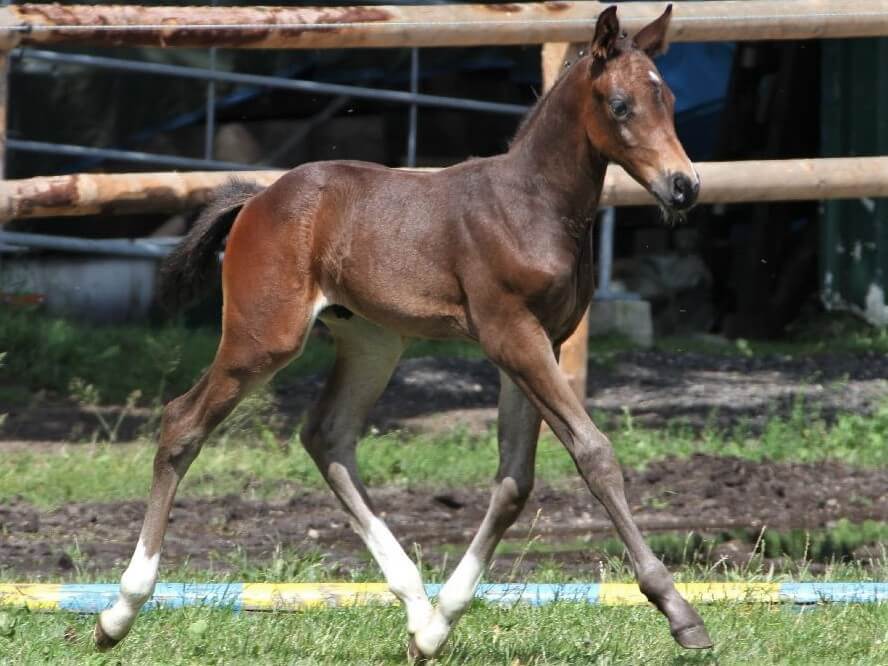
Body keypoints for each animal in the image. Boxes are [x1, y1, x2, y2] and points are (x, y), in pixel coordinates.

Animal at [95, 5, 716, 656]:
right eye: (620, 105)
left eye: (670, 99)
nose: (684, 186)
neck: (533, 204)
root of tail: (258, 199)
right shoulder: (511, 335)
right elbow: (593, 452)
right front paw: (678, 610)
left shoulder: (540, 341)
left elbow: (514, 481)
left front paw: (441, 625)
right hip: (262, 338)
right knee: (182, 422)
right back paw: (118, 612)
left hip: (372, 341)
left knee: (328, 436)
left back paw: (417, 607)